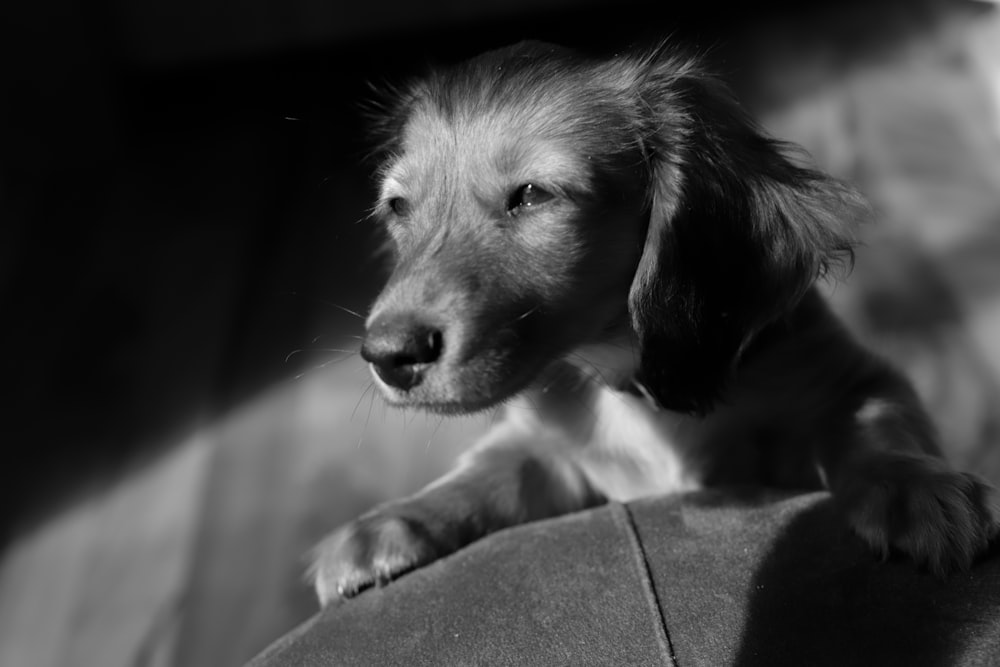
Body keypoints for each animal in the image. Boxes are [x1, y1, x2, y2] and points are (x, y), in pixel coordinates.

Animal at [308, 41, 996, 604]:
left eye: (532, 195)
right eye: (398, 207)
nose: (387, 355)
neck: (624, 375)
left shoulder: (851, 378)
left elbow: (871, 426)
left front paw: (912, 489)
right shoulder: (550, 454)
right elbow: (481, 477)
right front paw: (390, 522)